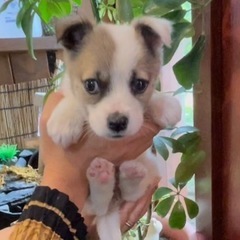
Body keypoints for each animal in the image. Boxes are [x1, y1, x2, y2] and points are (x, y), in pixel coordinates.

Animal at [47, 16, 181, 240]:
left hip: (150, 164)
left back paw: (128, 174)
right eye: (91, 85)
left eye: (140, 84)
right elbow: (74, 99)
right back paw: (103, 178)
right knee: (97, 206)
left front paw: (164, 104)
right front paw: (65, 119)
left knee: (127, 194)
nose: (118, 122)